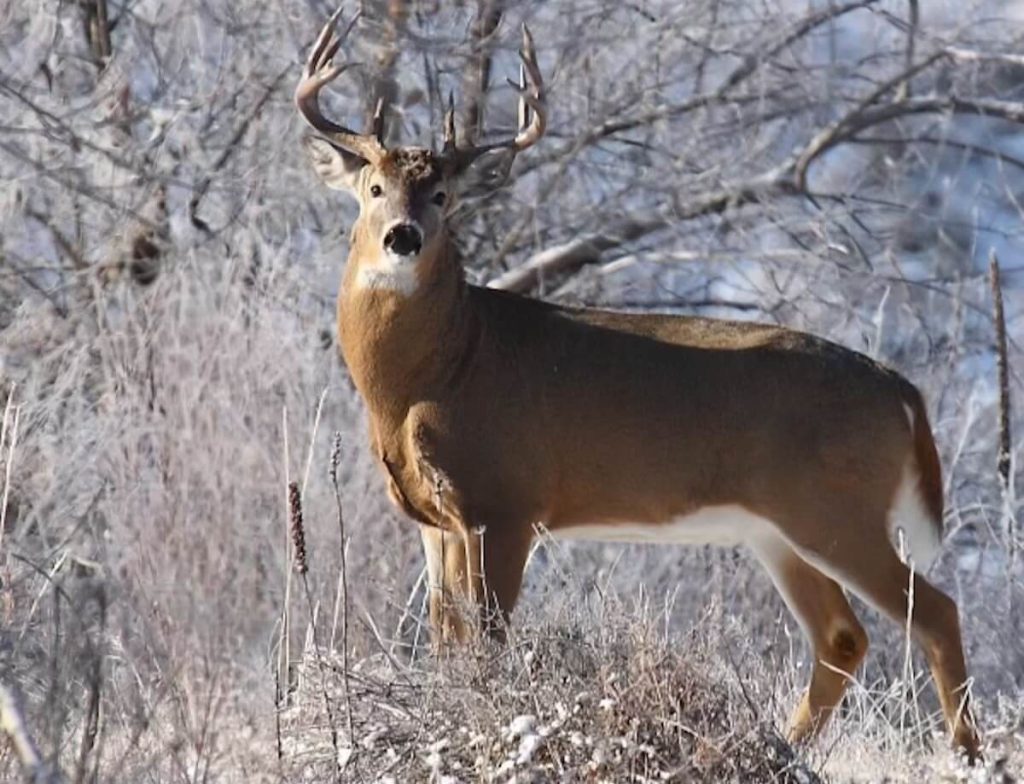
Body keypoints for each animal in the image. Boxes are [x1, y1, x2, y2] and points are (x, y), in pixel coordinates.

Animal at [296, 10, 983, 761]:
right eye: (374, 189)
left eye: (443, 196)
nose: (403, 236)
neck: (436, 372)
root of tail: (903, 391)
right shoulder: (432, 517)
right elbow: (447, 643)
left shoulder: (505, 501)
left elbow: (489, 643)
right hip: (779, 527)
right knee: (842, 637)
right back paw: (782, 747)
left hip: (838, 510)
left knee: (937, 611)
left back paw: (969, 755)